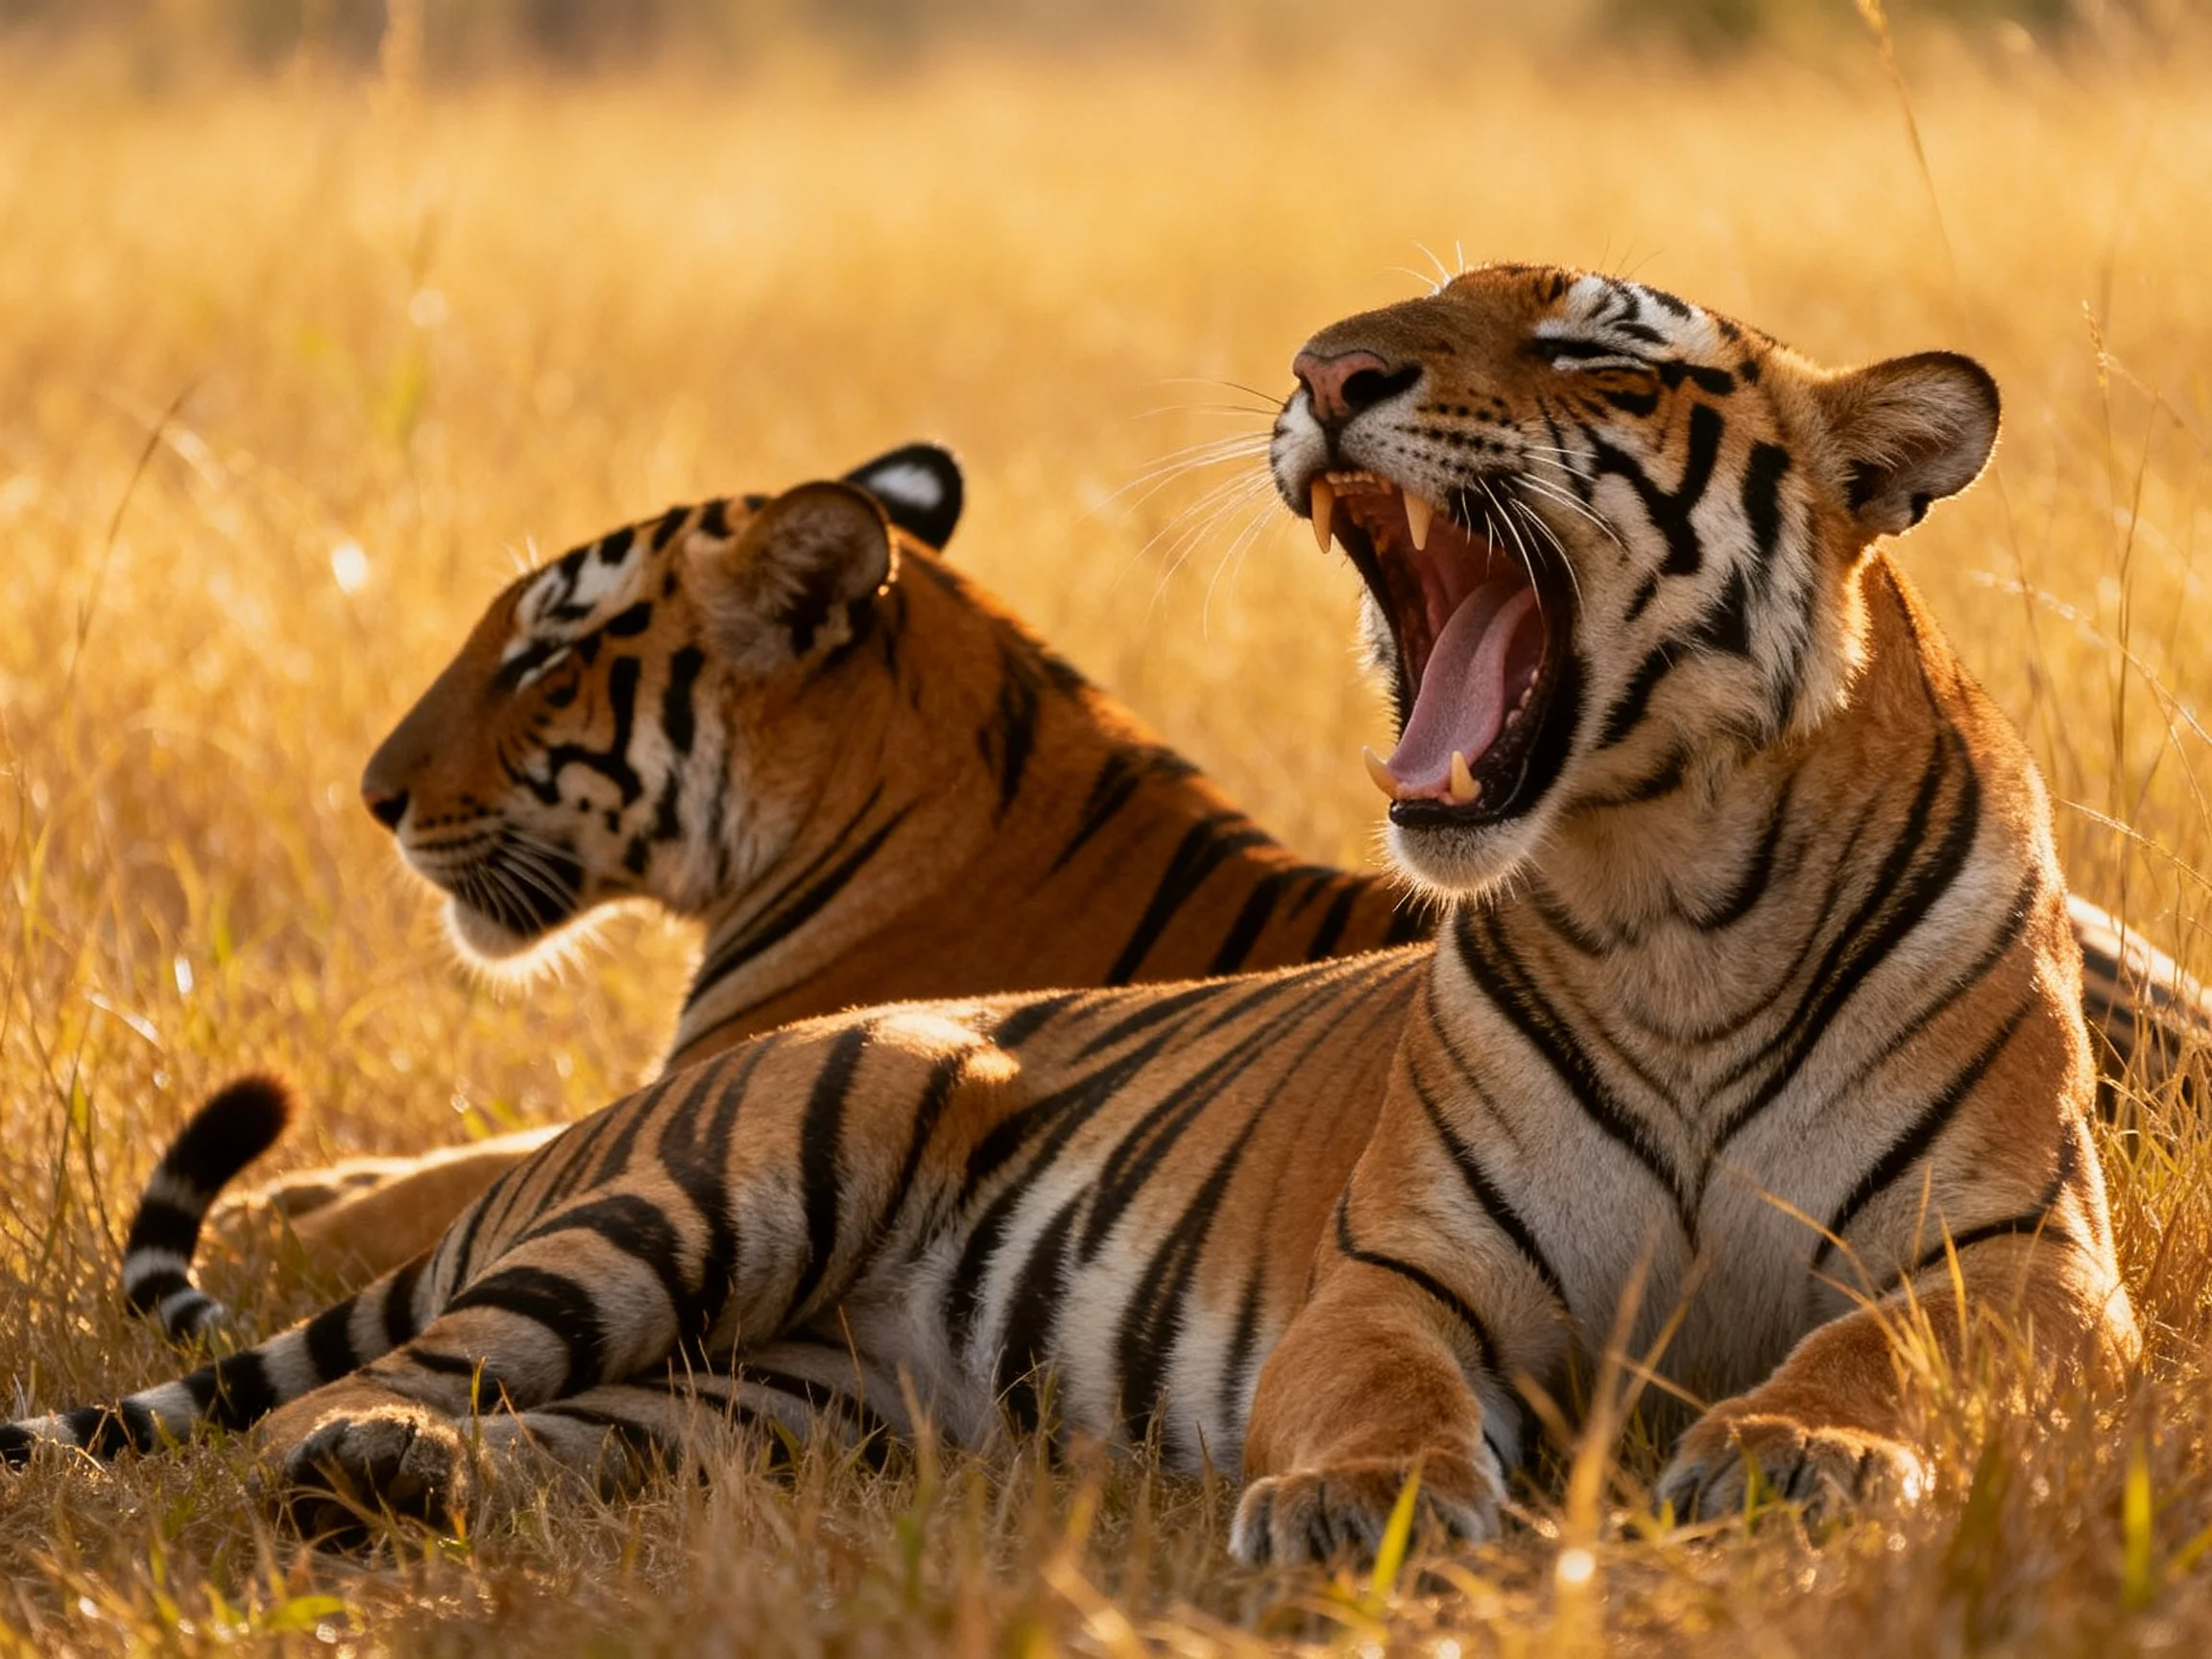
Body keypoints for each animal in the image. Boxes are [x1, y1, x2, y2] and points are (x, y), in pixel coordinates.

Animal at [120, 441, 1427, 1339]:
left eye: (546, 657)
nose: (374, 796)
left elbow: (465, 1187)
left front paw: (268, 1230)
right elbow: (470, 1152)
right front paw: (302, 1188)